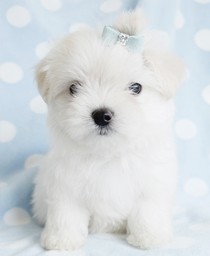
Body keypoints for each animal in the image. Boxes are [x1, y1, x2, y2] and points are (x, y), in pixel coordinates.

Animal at [32, 11, 185, 251]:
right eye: (74, 88)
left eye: (136, 88)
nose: (102, 115)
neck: (109, 154)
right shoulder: (65, 187)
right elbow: (66, 214)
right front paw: (62, 240)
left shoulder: (152, 183)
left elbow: (148, 211)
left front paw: (150, 237)